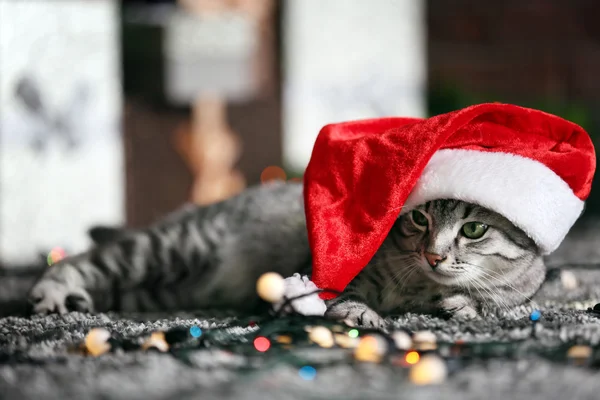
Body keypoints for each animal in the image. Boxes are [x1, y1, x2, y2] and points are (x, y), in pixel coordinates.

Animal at [27, 182, 544, 328]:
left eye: (473, 229)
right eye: (419, 219)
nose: (433, 255)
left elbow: (501, 302)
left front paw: (466, 305)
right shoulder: (333, 272)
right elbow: (346, 296)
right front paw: (361, 314)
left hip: (158, 289)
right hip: (170, 248)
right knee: (79, 260)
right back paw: (52, 294)